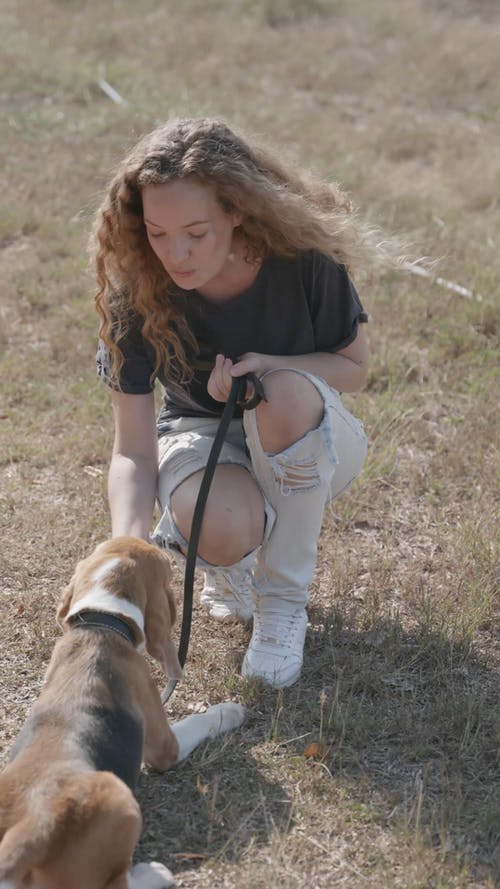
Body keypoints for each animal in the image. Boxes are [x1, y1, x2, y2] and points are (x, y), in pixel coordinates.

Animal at [0, 536, 244, 888]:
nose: (163, 539)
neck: (103, 621)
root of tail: (28, 834)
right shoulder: (164, 746)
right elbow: (197, 722)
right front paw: (230, 711)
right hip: (120, 795)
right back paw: (154, 873)